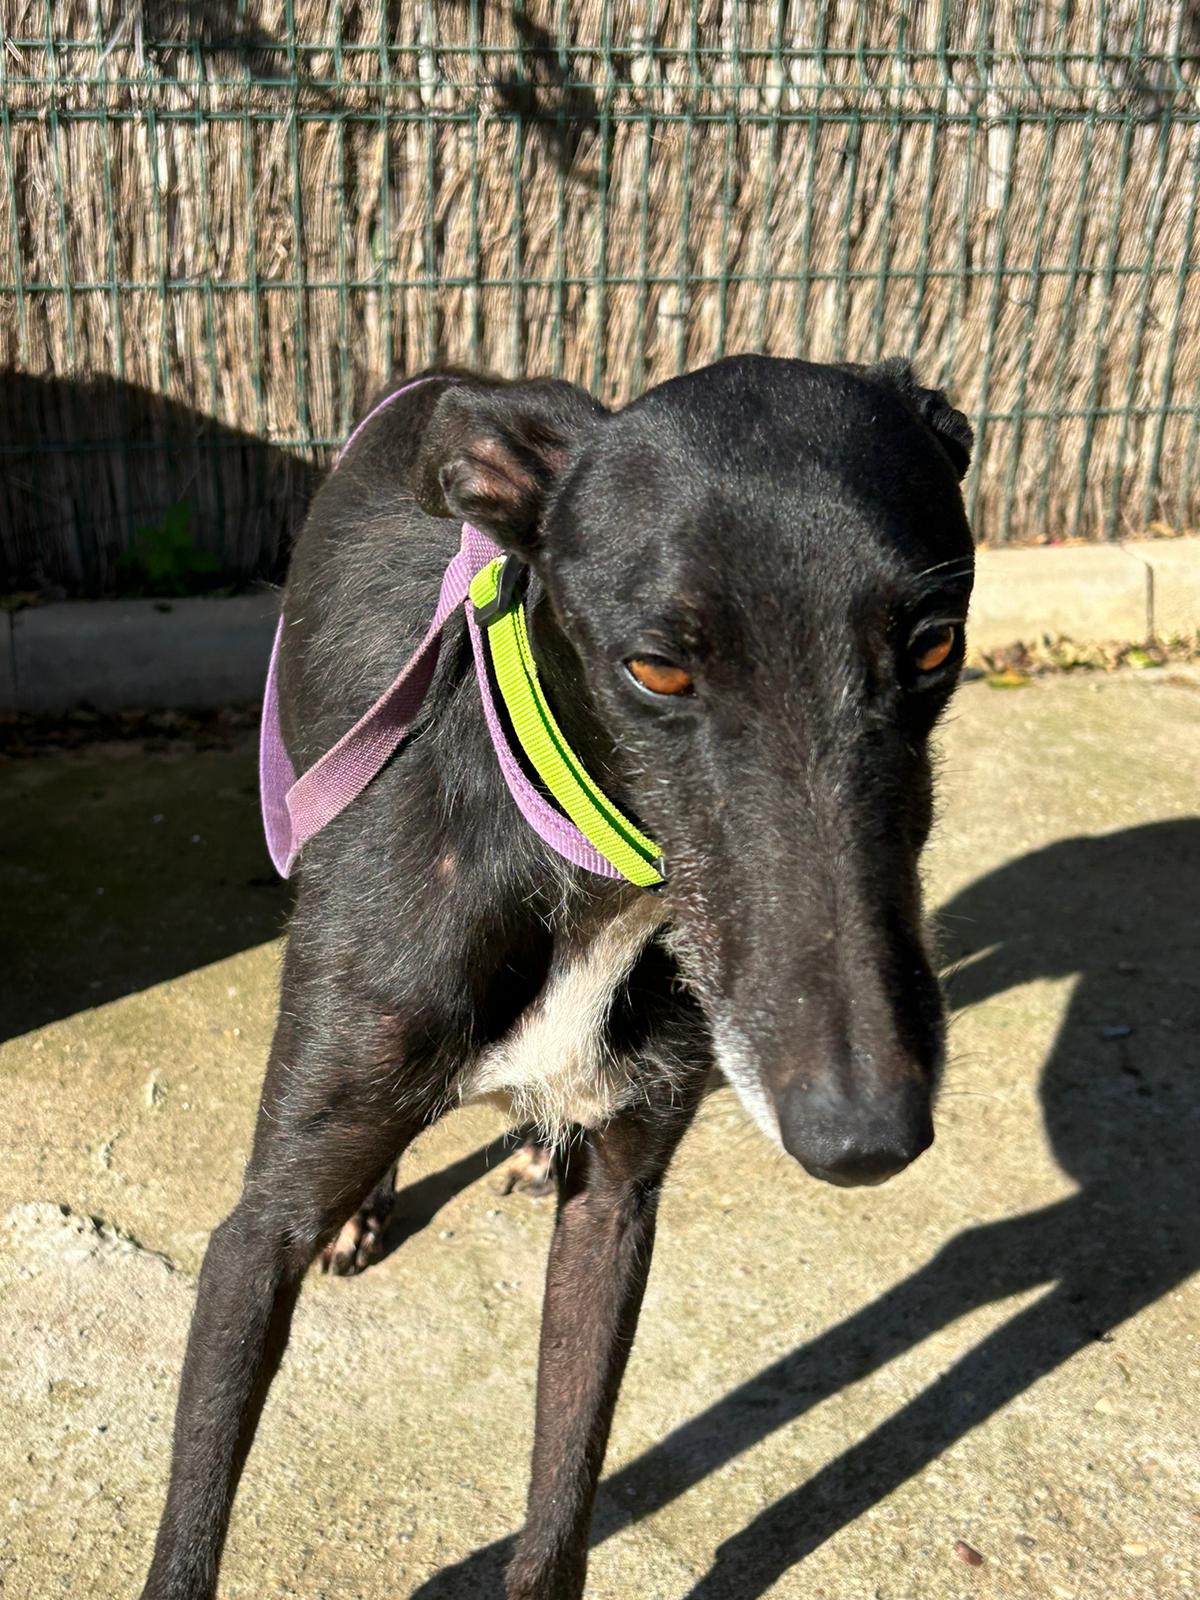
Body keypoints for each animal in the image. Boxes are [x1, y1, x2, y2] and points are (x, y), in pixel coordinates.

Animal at [139, 354, 975, 1600]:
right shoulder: (253, 1238)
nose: (863, 1132)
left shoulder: (620, 1202)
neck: (585, 868)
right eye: (658, 666)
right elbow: (196, 1506)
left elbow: (567, 1471)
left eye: (931, 645)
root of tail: (461, 379)